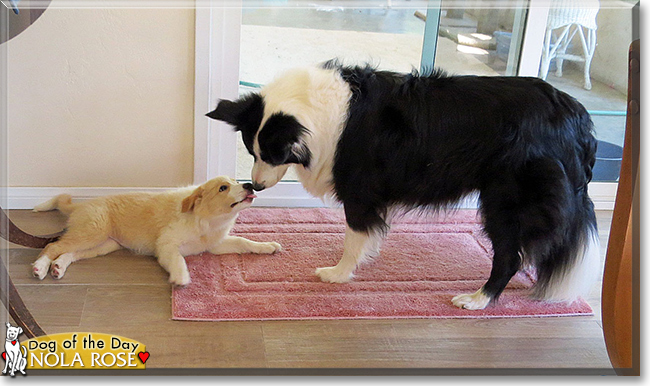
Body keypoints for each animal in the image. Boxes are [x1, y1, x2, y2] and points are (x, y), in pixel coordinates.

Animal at [31, 176, 278, 284]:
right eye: (223, 188)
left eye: (236, 181)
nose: (249, 185)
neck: (206, 221)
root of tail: (81, 205)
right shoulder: (166, 244)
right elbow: (179, 259)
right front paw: (181, 277)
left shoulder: (214, 245)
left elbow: (243, 242)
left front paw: (267, 247)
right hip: (92, 233)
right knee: (53, 246)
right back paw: (40, 267)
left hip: (104, 244)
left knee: (68, 252)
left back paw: (58, 268)